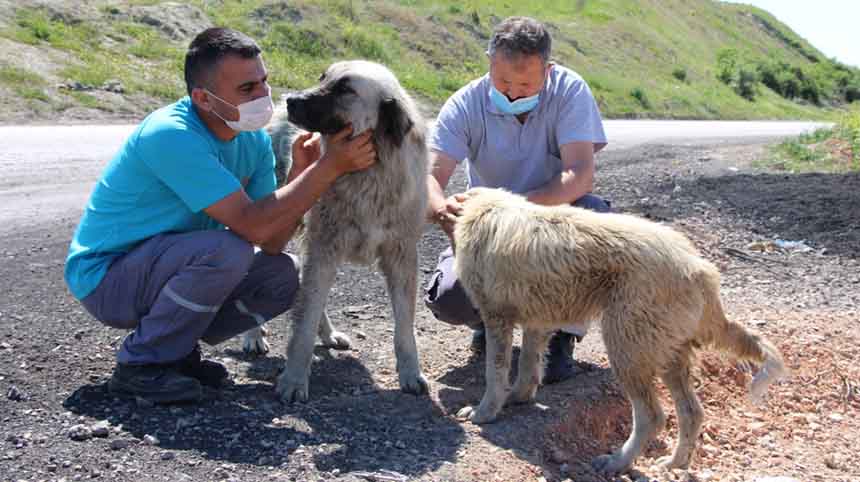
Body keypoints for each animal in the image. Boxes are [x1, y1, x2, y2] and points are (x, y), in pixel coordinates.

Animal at [243, 60, 430, 402]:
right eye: (322, 78)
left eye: (345, 89)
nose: (292, 99)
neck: (369, 174)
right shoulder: (324, 249)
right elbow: (303, 327)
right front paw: (294, 379)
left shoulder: (400, 257)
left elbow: (404, 328)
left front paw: (411, 374)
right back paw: (253, 336)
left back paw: (328, 334)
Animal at [451, 188, 786, 474]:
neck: (481, 206)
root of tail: (699, 267)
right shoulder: (537, 322)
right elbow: (527, 366)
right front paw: (517, 398)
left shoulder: (497, 318)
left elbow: (495, 373)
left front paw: (485, 413)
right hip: (667, 355)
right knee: (692, 413)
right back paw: (673, 464)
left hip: (625, 348)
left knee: (652, 416)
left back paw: (618, 462)